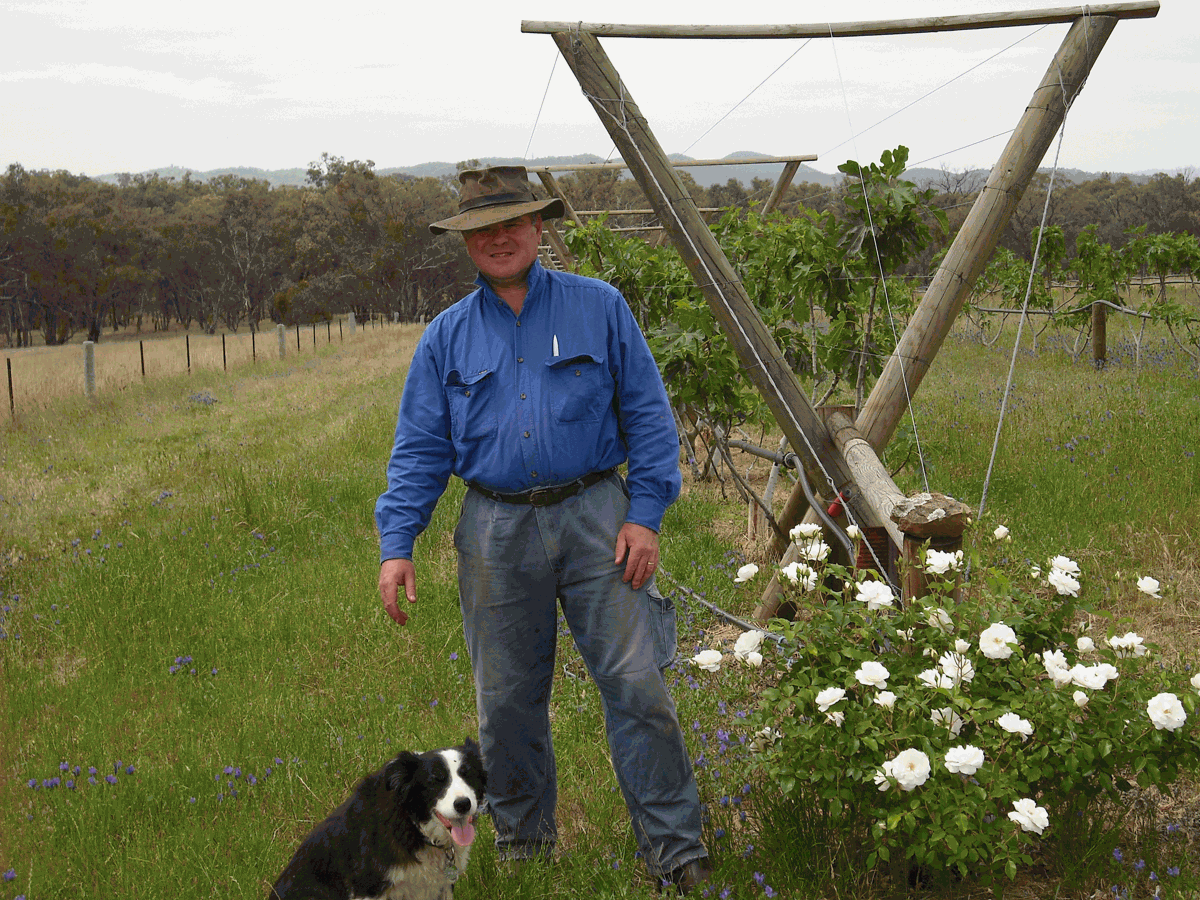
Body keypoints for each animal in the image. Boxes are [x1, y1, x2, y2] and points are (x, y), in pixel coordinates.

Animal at [272, 739, 487, 900]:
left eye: (469, 775)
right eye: (436, 780)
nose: (463, 804)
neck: (412, 825)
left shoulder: (440, 885)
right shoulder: (369, 887)